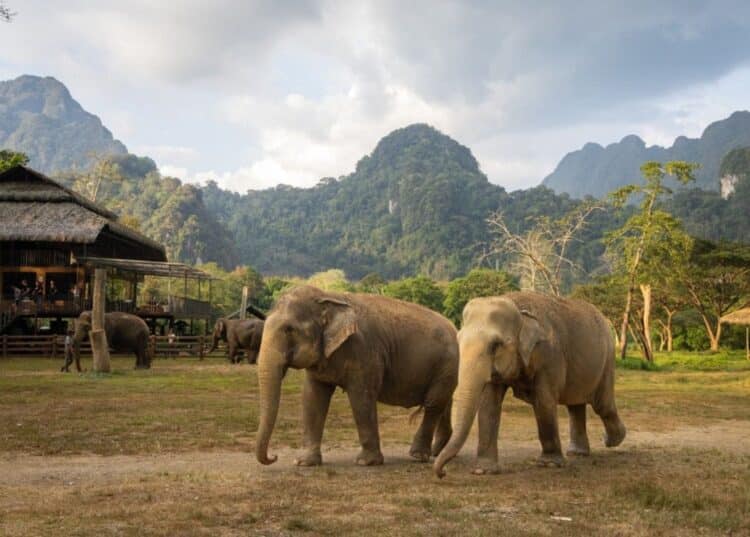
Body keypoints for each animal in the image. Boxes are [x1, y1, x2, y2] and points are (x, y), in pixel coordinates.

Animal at [255, 285, 459, 467]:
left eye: (289, 329)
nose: (273, 457)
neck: (328, 296)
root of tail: (454, 328)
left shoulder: (364, 351)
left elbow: (361, 397)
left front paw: (366, 462)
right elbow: (312, 398)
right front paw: (304, 462)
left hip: (446, 365)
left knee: (433, 404)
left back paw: (418, 456)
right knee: (444, 403)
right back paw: (436, 453)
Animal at [434, 292, 626, 478]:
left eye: (496, 345)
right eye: (458, 340)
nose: (443, 473)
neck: (517, 306)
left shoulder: (549, 356)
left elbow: (544, 401)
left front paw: (549, 464)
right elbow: (489, 404)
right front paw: (483, 470)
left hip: (607, 360)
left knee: (602, 405)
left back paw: (611, 440)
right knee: (575, 404)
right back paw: (578, 453)